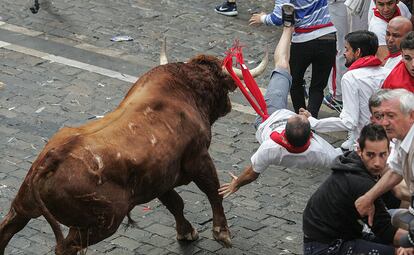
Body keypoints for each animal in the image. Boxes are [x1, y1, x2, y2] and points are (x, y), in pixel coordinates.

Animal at [0, 50, 266, 254]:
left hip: (22, 206)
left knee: (7, 229)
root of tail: (53, 158)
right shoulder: (199, 158)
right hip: (102, 223)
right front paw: (222, 233)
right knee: (65, 248)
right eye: (225, 87)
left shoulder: (159, 177)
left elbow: (176, 203)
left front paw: (186, 232)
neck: (184, 90)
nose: (229, 105)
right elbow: (213, 191)